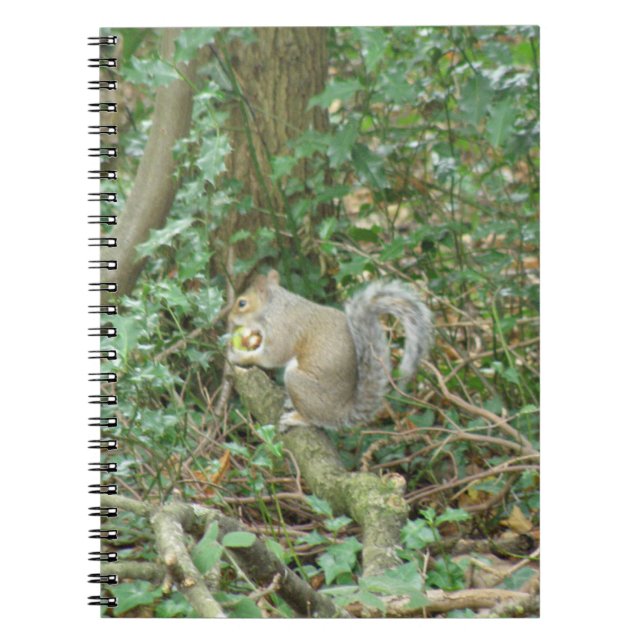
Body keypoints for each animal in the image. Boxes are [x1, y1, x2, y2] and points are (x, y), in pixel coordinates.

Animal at [228, 270, 432, 430]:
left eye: (242, 303)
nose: (229, 318)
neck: (275, 307)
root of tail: (340, 412)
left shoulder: (283, 330)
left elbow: (272, 356)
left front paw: (239, 356)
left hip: (298, 383)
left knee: (314, 419)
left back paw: (297, 418)